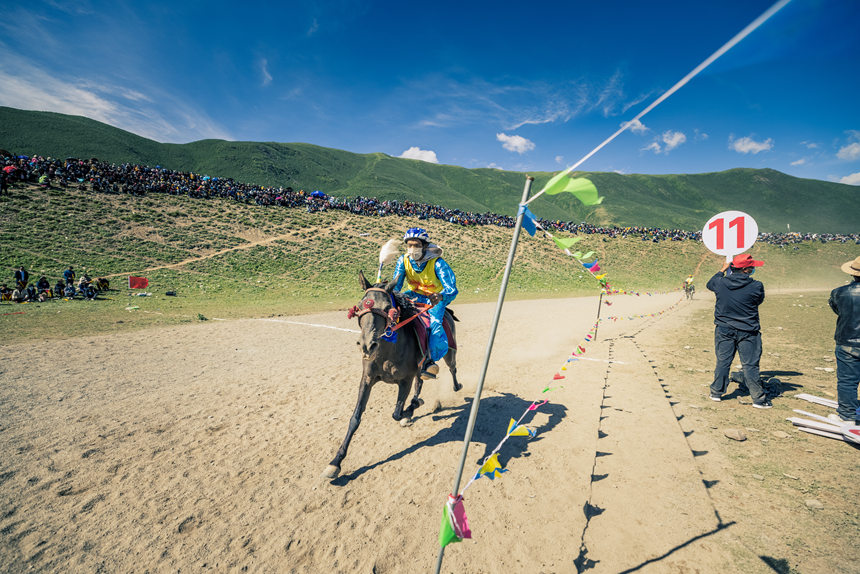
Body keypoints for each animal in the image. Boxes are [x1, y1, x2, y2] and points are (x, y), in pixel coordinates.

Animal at [322, 271, 461, 479]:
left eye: (388, 308)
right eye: (360, 306)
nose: (367, 345)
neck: (388, 351)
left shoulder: (405, 380)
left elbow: (396, 413)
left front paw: (410, 409)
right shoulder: (367, 380)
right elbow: (355, 418)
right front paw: (335, 462)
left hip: (449, 351)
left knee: (452, 369)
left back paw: (455, 386)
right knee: (421, 382)